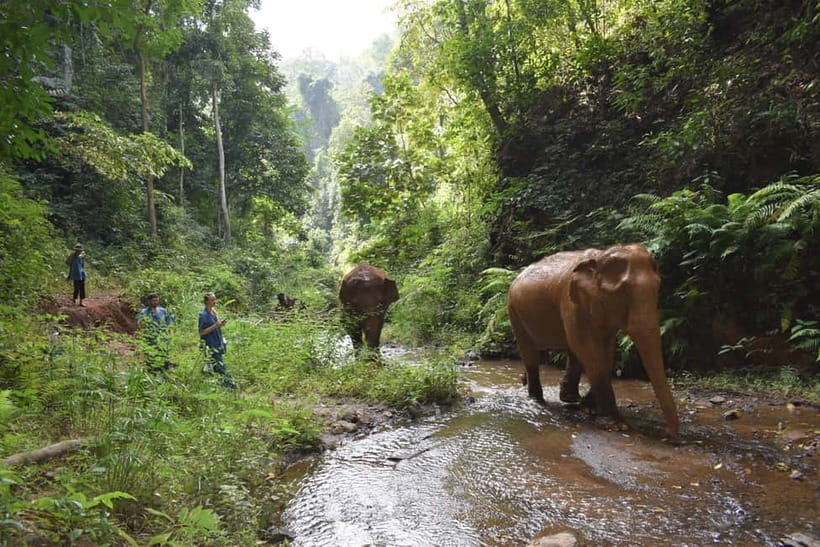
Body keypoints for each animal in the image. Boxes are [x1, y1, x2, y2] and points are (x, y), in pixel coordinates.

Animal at [507, 244, 679, 437]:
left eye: (658, 287)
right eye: (624, 291)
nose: (667, 432)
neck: (600, 257)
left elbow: (606, 349)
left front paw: (588, 407)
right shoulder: (571, 303)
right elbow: (588, 348)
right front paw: (615, 425)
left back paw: (569, 398)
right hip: (513, 311)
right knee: (530, 352)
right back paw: (537, 400)